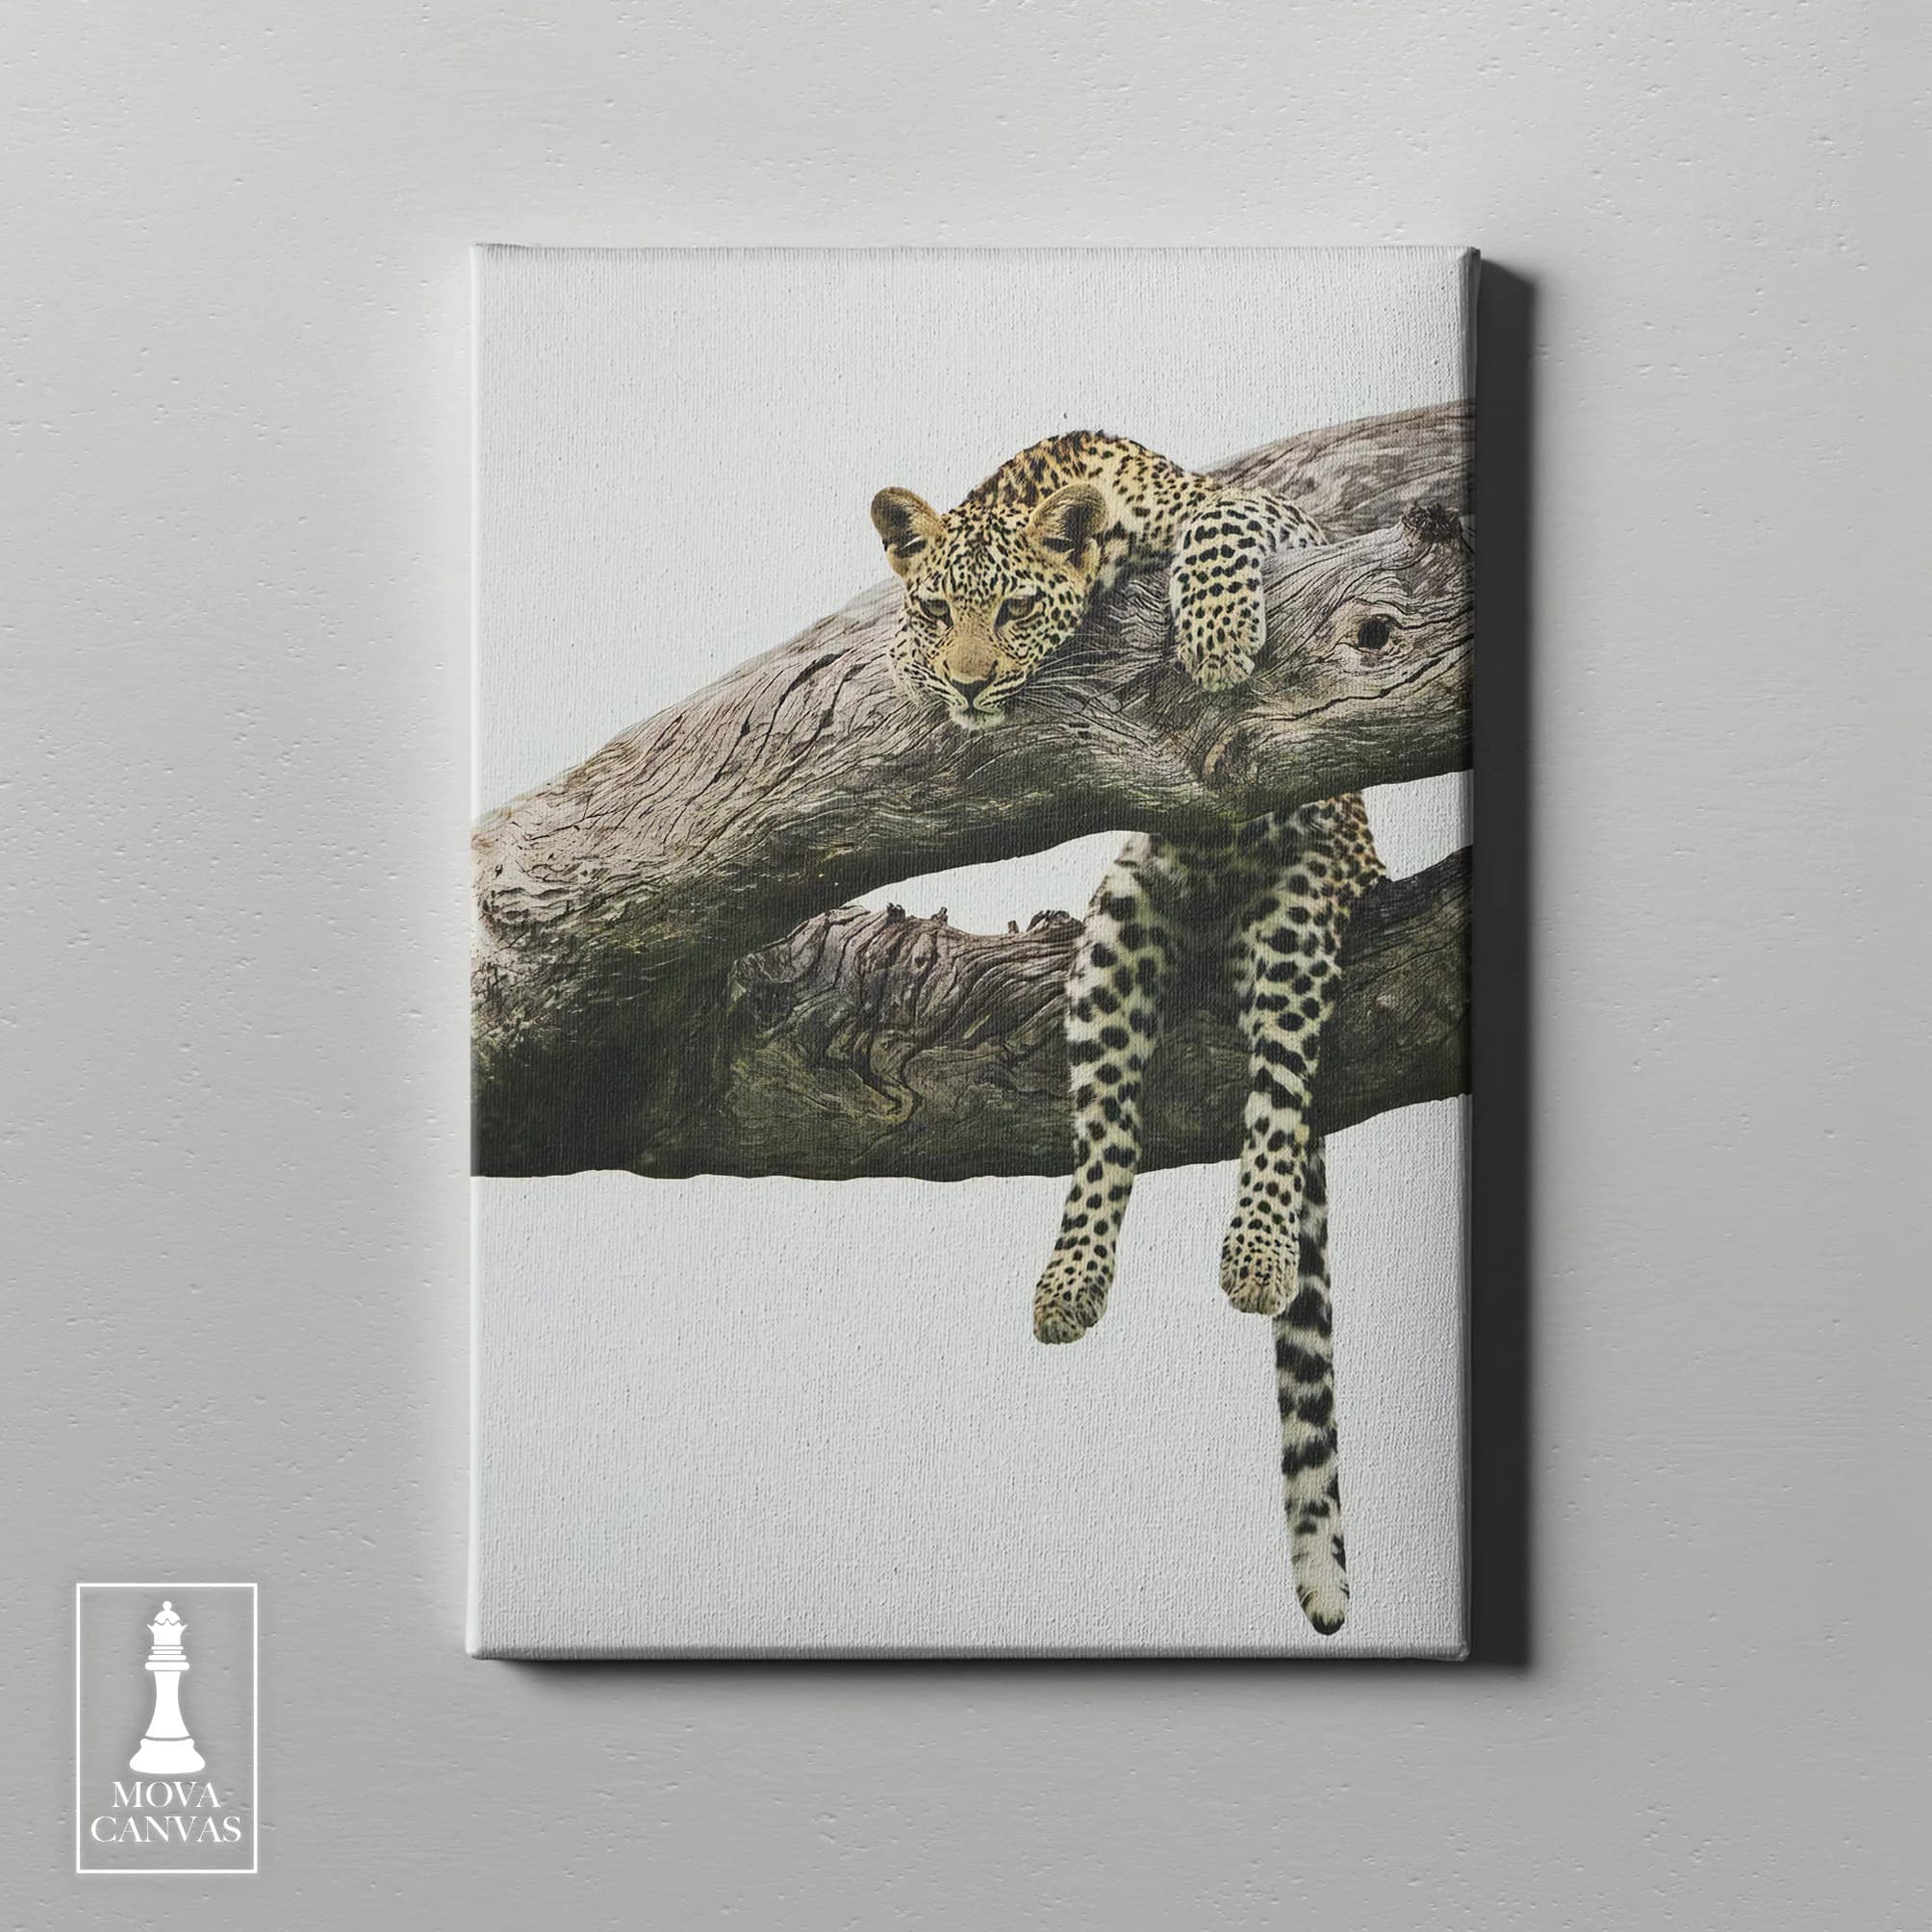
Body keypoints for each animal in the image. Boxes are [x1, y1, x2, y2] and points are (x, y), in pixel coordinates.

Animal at [869, 433, 1386, 1634]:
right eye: (936, 609)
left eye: (1015, 609)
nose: (969, 681)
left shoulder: (1280, 520)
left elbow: (1226, 524)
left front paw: (1216, 636)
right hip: (1122, 918)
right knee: (1106, 1132)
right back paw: (1069, 1285)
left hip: (1302, 904)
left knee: (1278, 1092)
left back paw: (1255, 1254)